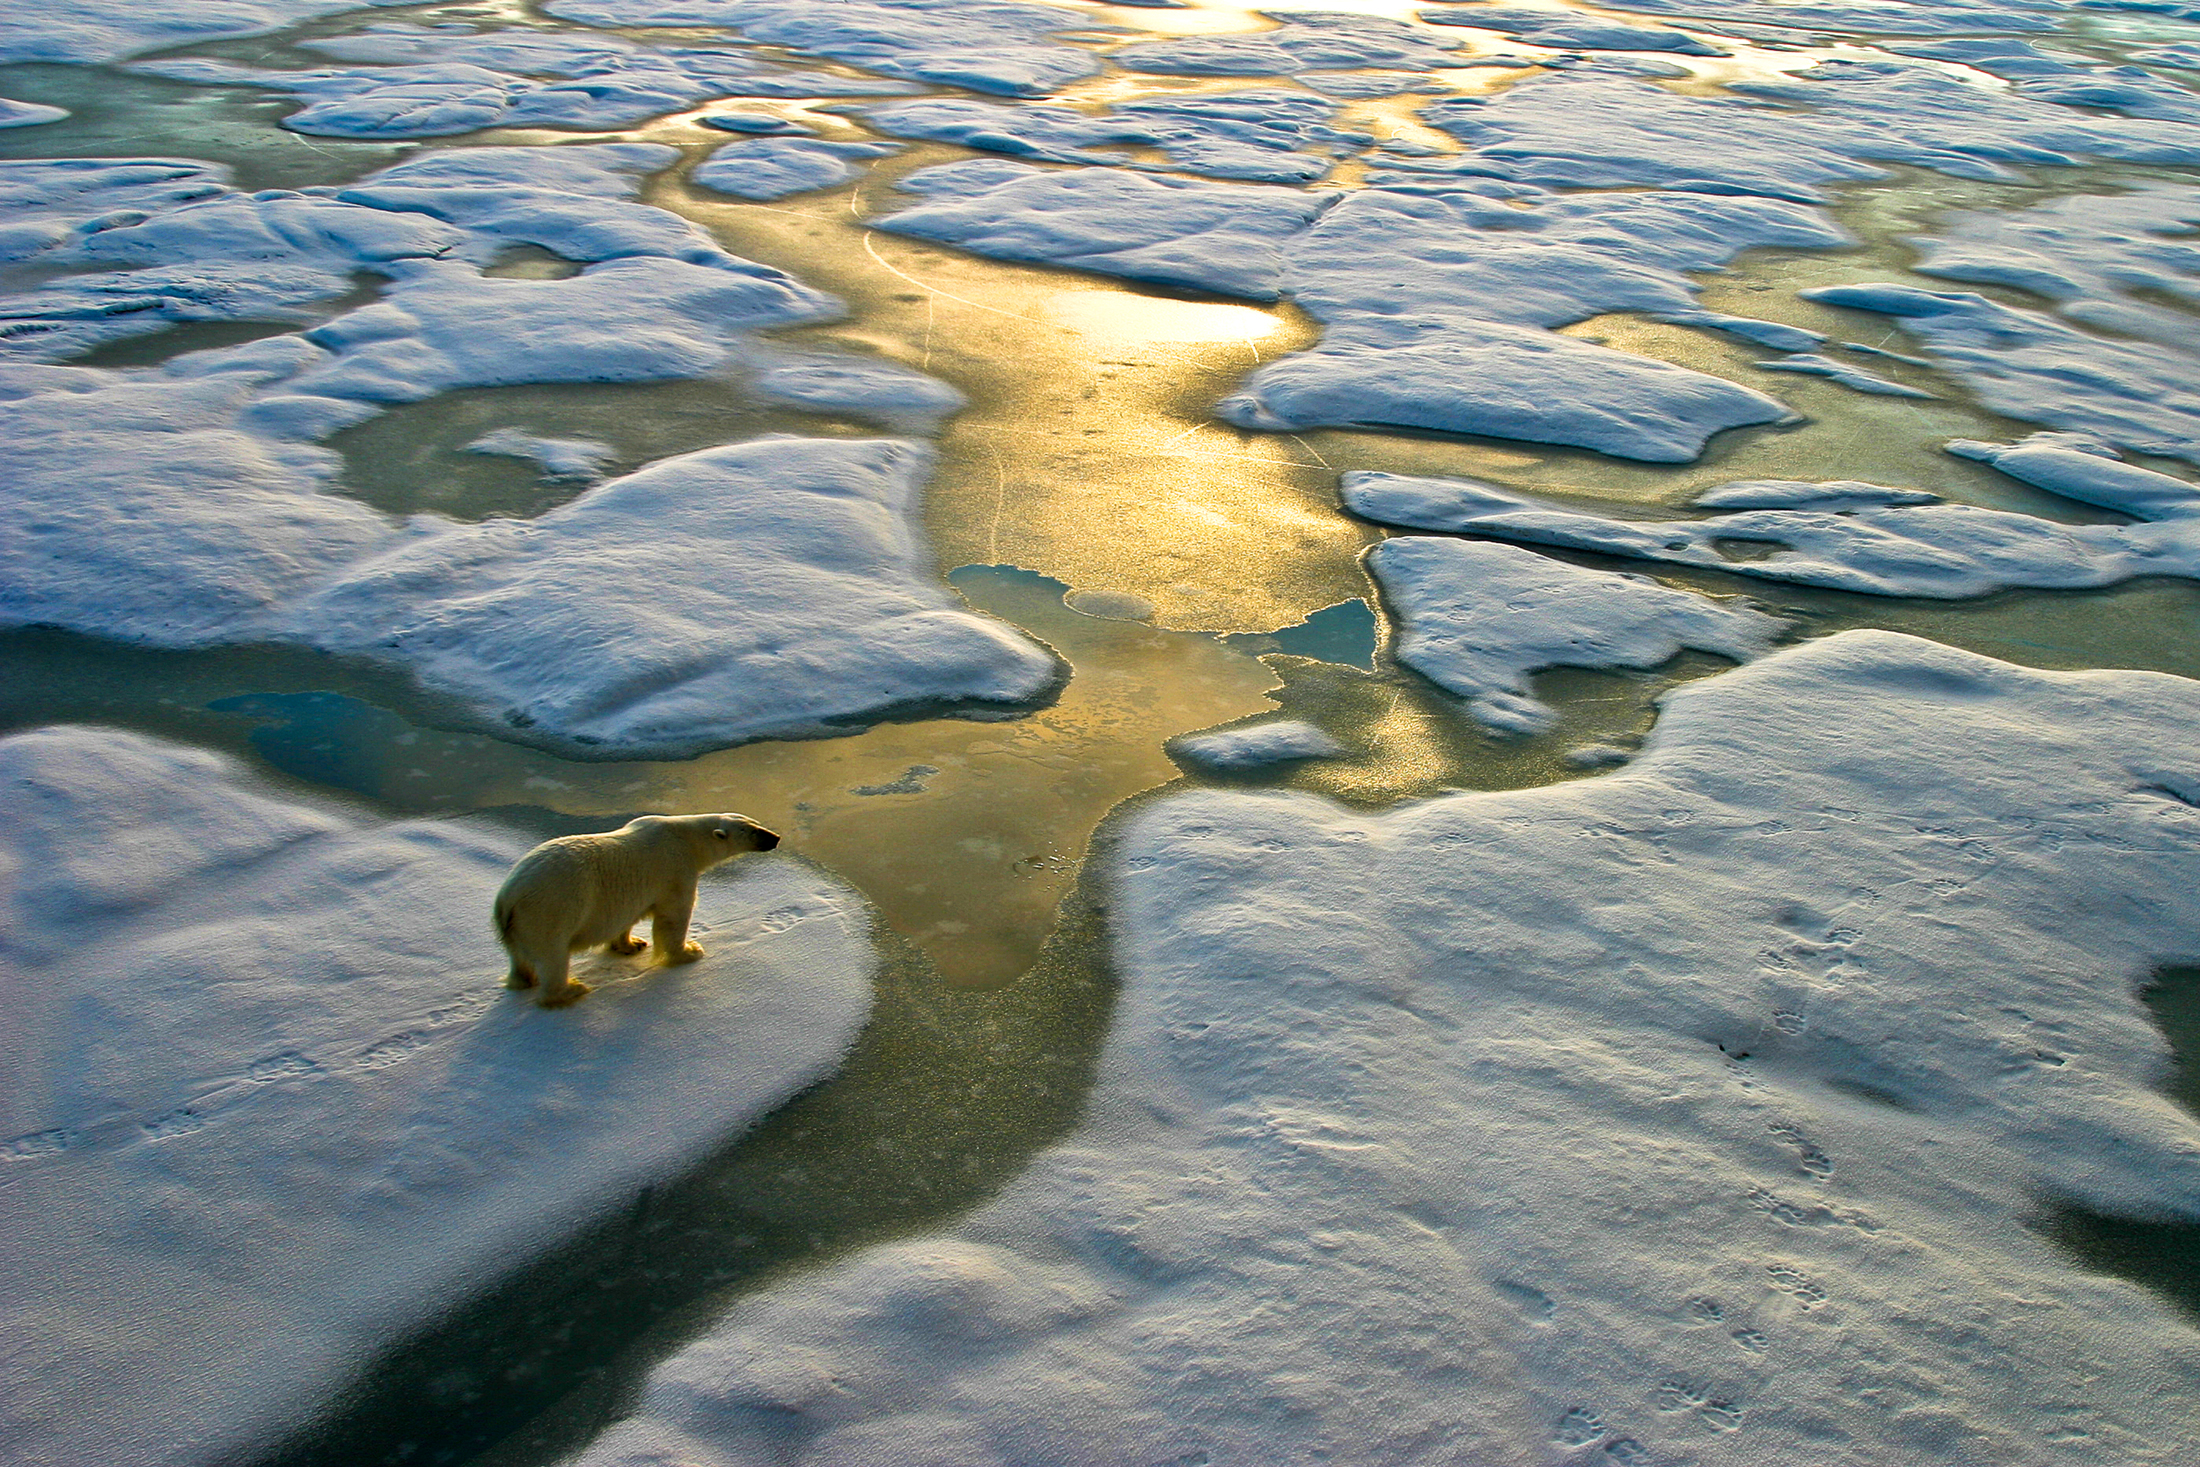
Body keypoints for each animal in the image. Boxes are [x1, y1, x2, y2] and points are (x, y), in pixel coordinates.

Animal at [499, 813, 783, 1011]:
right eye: (753, 831)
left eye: (756, 823)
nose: (776, 837)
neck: (686, 838)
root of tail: (507, 898)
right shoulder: (676, 869)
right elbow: (674, 916)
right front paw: (689, 951)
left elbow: (628, 917)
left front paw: (632, 944)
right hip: (549, 910)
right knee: (553, 956)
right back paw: (571, 990)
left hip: (518, 926)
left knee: (519, 958)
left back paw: (525, 980)